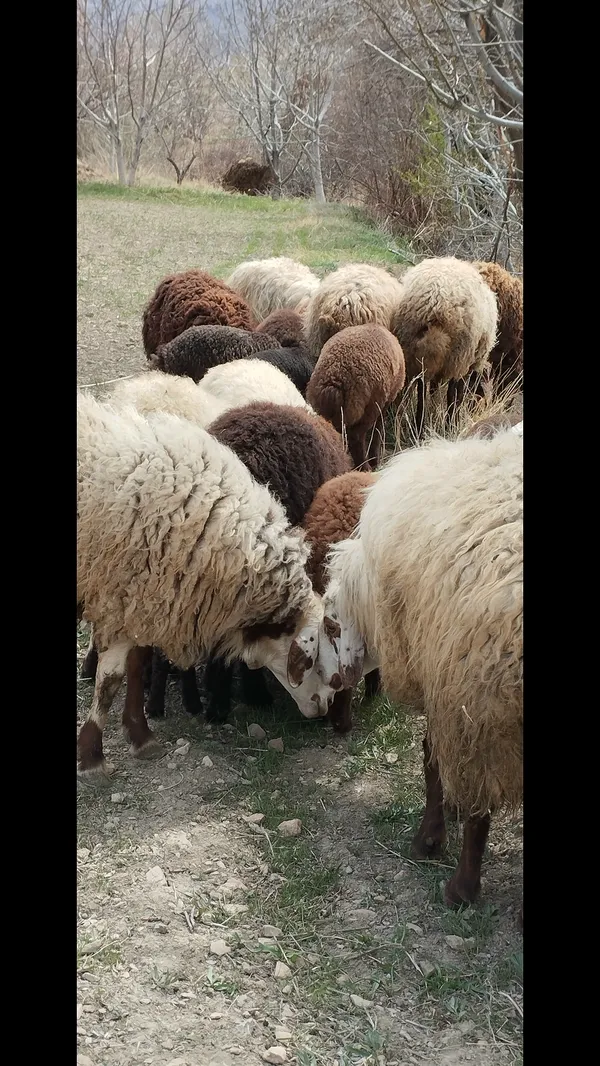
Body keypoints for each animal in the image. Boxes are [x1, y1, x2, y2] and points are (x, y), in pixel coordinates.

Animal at [306, 324, 406, 470]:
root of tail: (334, 377)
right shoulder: (385, 402)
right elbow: (378, 430)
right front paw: (375, 460)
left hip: (326, 410)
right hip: (367, 406)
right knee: (357, 438)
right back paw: (365, 466)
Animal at [323, 430, 522, 911]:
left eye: (331, 624)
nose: (335, 687)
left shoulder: (452, 687)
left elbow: (431, 757)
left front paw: (431, 837)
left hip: (485, 706)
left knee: (479, 808)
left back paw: (461, 888)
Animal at [390, 257, 498, 436]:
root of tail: (436, 300)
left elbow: (433, 388)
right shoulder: (465, 364)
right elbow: (457, 393)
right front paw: (453, 422)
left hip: (414, 348)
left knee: (421, 387)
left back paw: (419, 424)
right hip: (459, 353)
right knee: (449, 391)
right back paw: (442, 424)